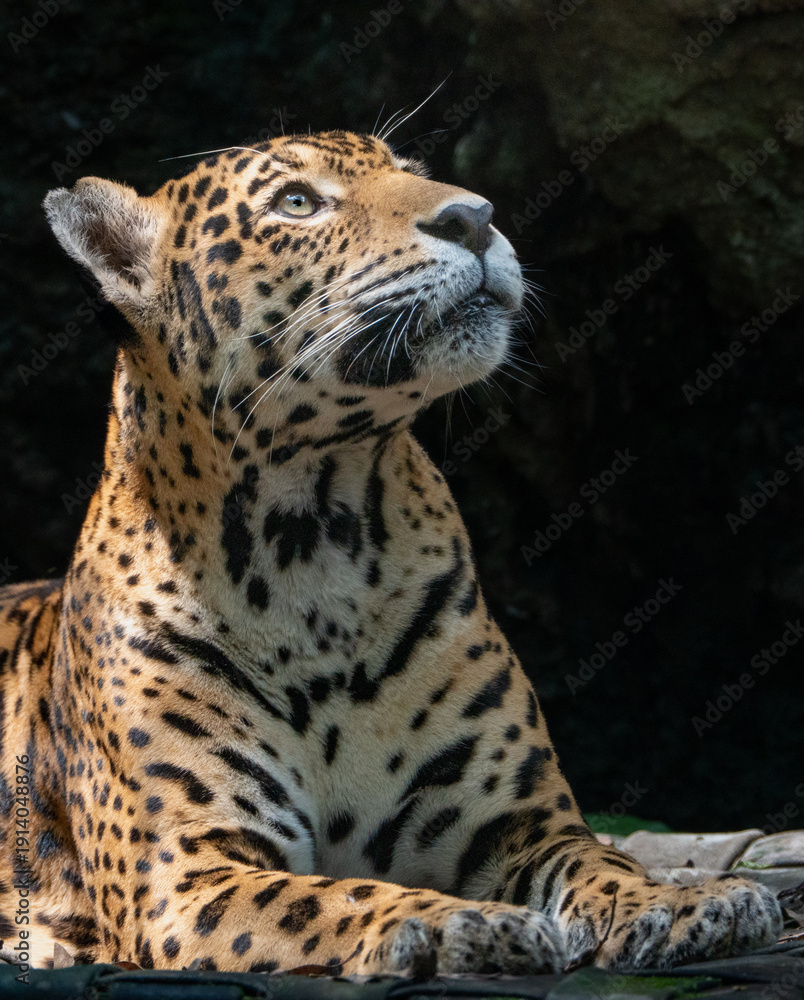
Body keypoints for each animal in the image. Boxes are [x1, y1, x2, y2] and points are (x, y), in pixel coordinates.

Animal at [0, 129, 781, 977]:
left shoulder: (522, 825)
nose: (475, 217)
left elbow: (604, 860)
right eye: (297, 202)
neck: (313, 543)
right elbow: (328, 899)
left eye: (409, 172)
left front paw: (688, 902)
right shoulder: (184, 872)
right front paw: (456, 924)